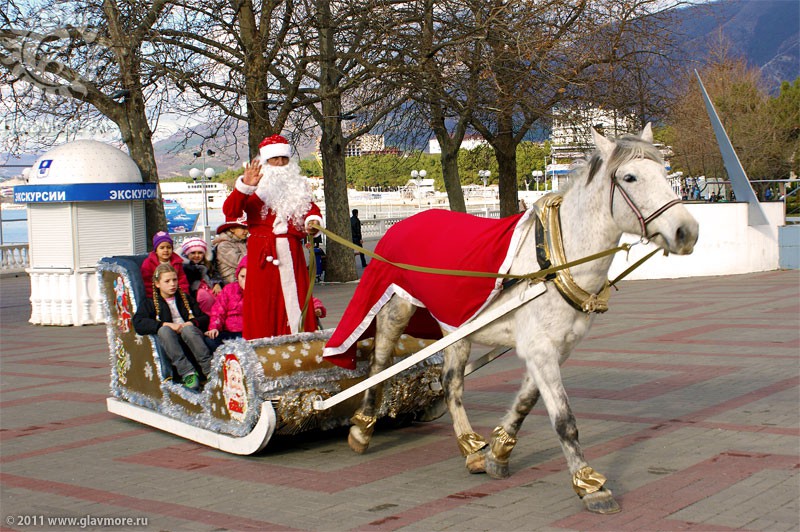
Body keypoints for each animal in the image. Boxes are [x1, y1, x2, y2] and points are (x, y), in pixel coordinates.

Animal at [344, 125, 700, 516]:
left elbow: (527, 402)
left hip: (456, 327)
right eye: (630, 177)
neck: (555, 260)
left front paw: (499, 453)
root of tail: (406, 222)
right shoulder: (540, 348)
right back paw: (363, 428)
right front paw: (589, 484)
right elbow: (564, 420)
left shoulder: (553, 347)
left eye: (666, 173)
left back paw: (471, 447)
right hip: (397, 308)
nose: (687, 231)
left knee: (451, 384)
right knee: (380, 363)